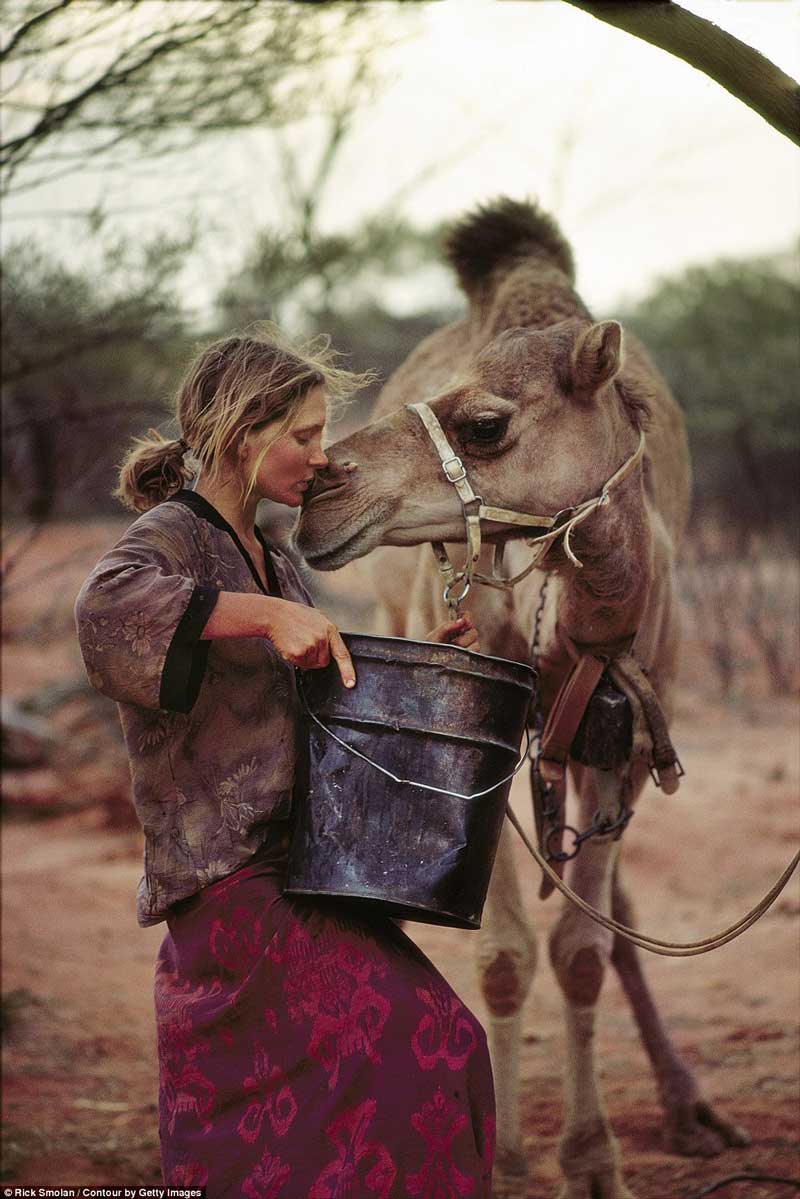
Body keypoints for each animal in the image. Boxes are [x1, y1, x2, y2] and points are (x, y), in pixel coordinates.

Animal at [296, 201, 753, 1194]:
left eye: (485, 423)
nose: (316, 493)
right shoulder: (490, 744)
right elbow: (505, 956)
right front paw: (504, 1163)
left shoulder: (626, 736)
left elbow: (581, 950)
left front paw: (594, 1160)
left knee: (612, 916)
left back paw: (692, 1110)